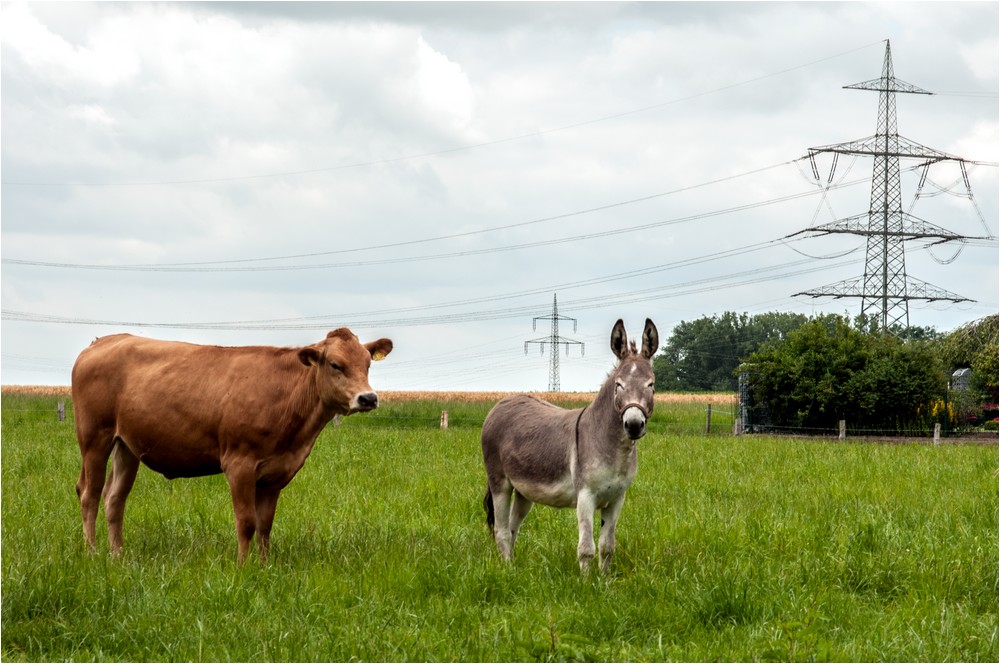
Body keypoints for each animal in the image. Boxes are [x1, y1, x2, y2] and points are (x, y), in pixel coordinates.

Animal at [69, 330, 390, 564]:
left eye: (367, 364)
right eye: (335, 364)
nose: (368, 398)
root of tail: (104, 341)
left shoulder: (276, 473)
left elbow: (265, 524)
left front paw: (264, 565)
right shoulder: (239, 464)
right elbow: (246, 521)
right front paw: (242, 566)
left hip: (127, 446)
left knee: (114, 498)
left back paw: (117, 555)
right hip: (94, 437)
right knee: (89, 493)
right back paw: (91, 552)